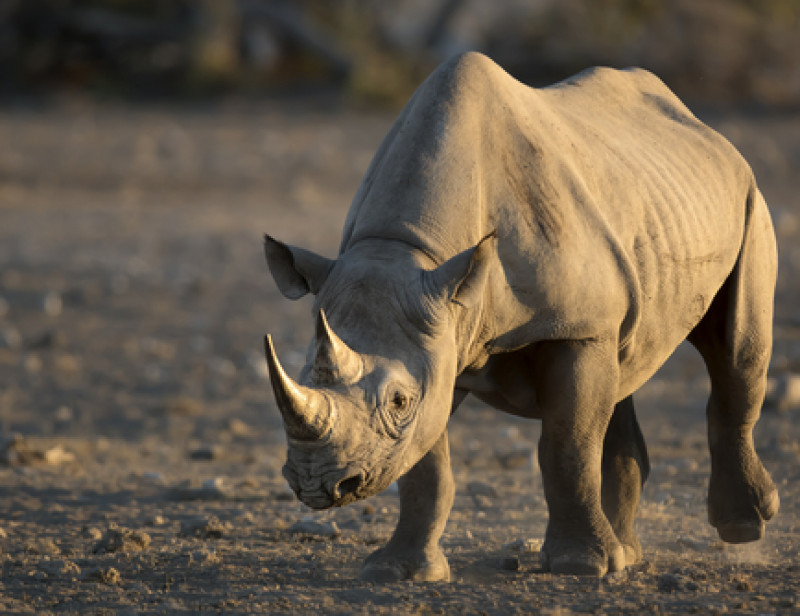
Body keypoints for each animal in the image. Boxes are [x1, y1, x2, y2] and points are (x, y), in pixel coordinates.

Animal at [262, 51, 776, 576]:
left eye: (399, 401)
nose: (317, 485)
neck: (411, 250)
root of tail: (702, 125)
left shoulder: (571, 328)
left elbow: (567, 445)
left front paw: (580, 566)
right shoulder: (440, 335)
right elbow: (425, 465)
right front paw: (399, 570)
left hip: (749, 200)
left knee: (736, 353)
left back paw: (740, 527)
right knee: (624, 368)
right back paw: (627, 553)